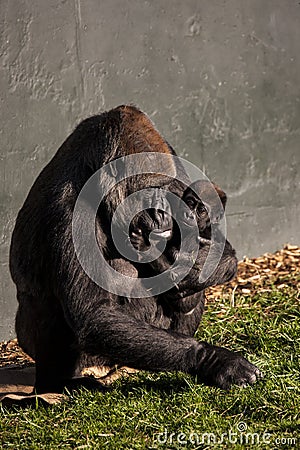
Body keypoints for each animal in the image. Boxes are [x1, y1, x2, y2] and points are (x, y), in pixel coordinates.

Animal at [9, 103, 262, 392]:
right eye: (147, 193)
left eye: (166, 193)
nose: (163, 216)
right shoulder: (68, 210)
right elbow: (94, 314)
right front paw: (211, 359)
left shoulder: (178, 171)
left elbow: (217, 246)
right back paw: (57, 383)